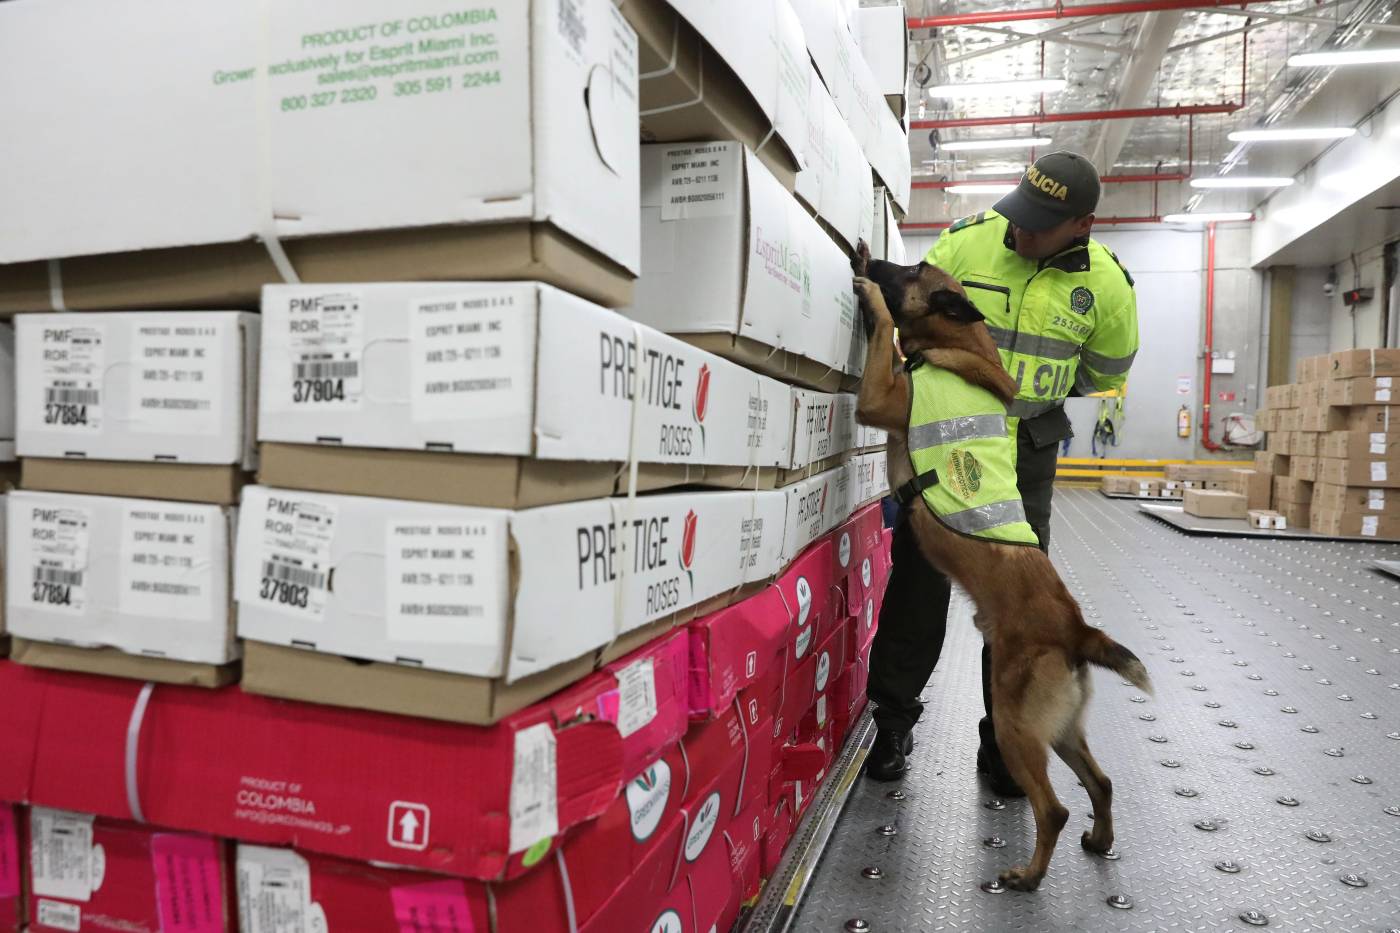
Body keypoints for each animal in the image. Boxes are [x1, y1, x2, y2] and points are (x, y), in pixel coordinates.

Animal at [851, 249, 1148, 896]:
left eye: (912, 269)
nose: (875, 255)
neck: (959, 347)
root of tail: (1076, 630)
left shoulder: (881, 398)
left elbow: (884, 333)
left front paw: (873, 297)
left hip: (1014, 726)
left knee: (1053, 809)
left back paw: (1027, 876)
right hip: (1058, 732)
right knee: (1102, 783)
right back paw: (1099, 840)